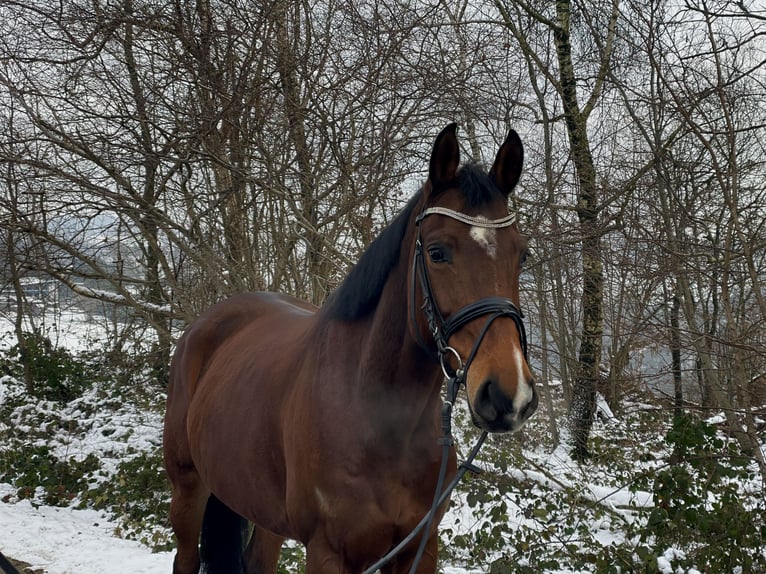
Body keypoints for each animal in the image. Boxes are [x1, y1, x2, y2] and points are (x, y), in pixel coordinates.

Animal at [164, 124, 540, 572]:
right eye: (437, 252)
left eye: (523, 255)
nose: (509, 395)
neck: (373, 415)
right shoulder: (328, 551)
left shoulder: (420, 546)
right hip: (188, 488)